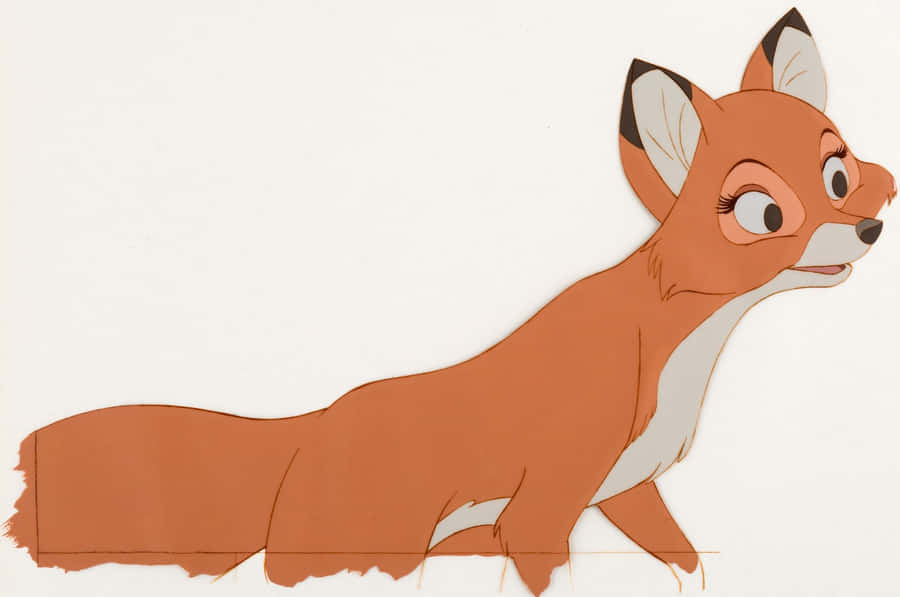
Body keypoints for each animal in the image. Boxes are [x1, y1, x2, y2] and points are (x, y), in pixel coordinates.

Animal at [4, 7, 896, 597]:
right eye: (764, 214)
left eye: (839, 171)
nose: (871, 226)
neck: (675, 347)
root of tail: (307, 430)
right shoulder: (542, 511)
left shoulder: (624, 489)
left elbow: (685, 561)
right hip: (367, 548)